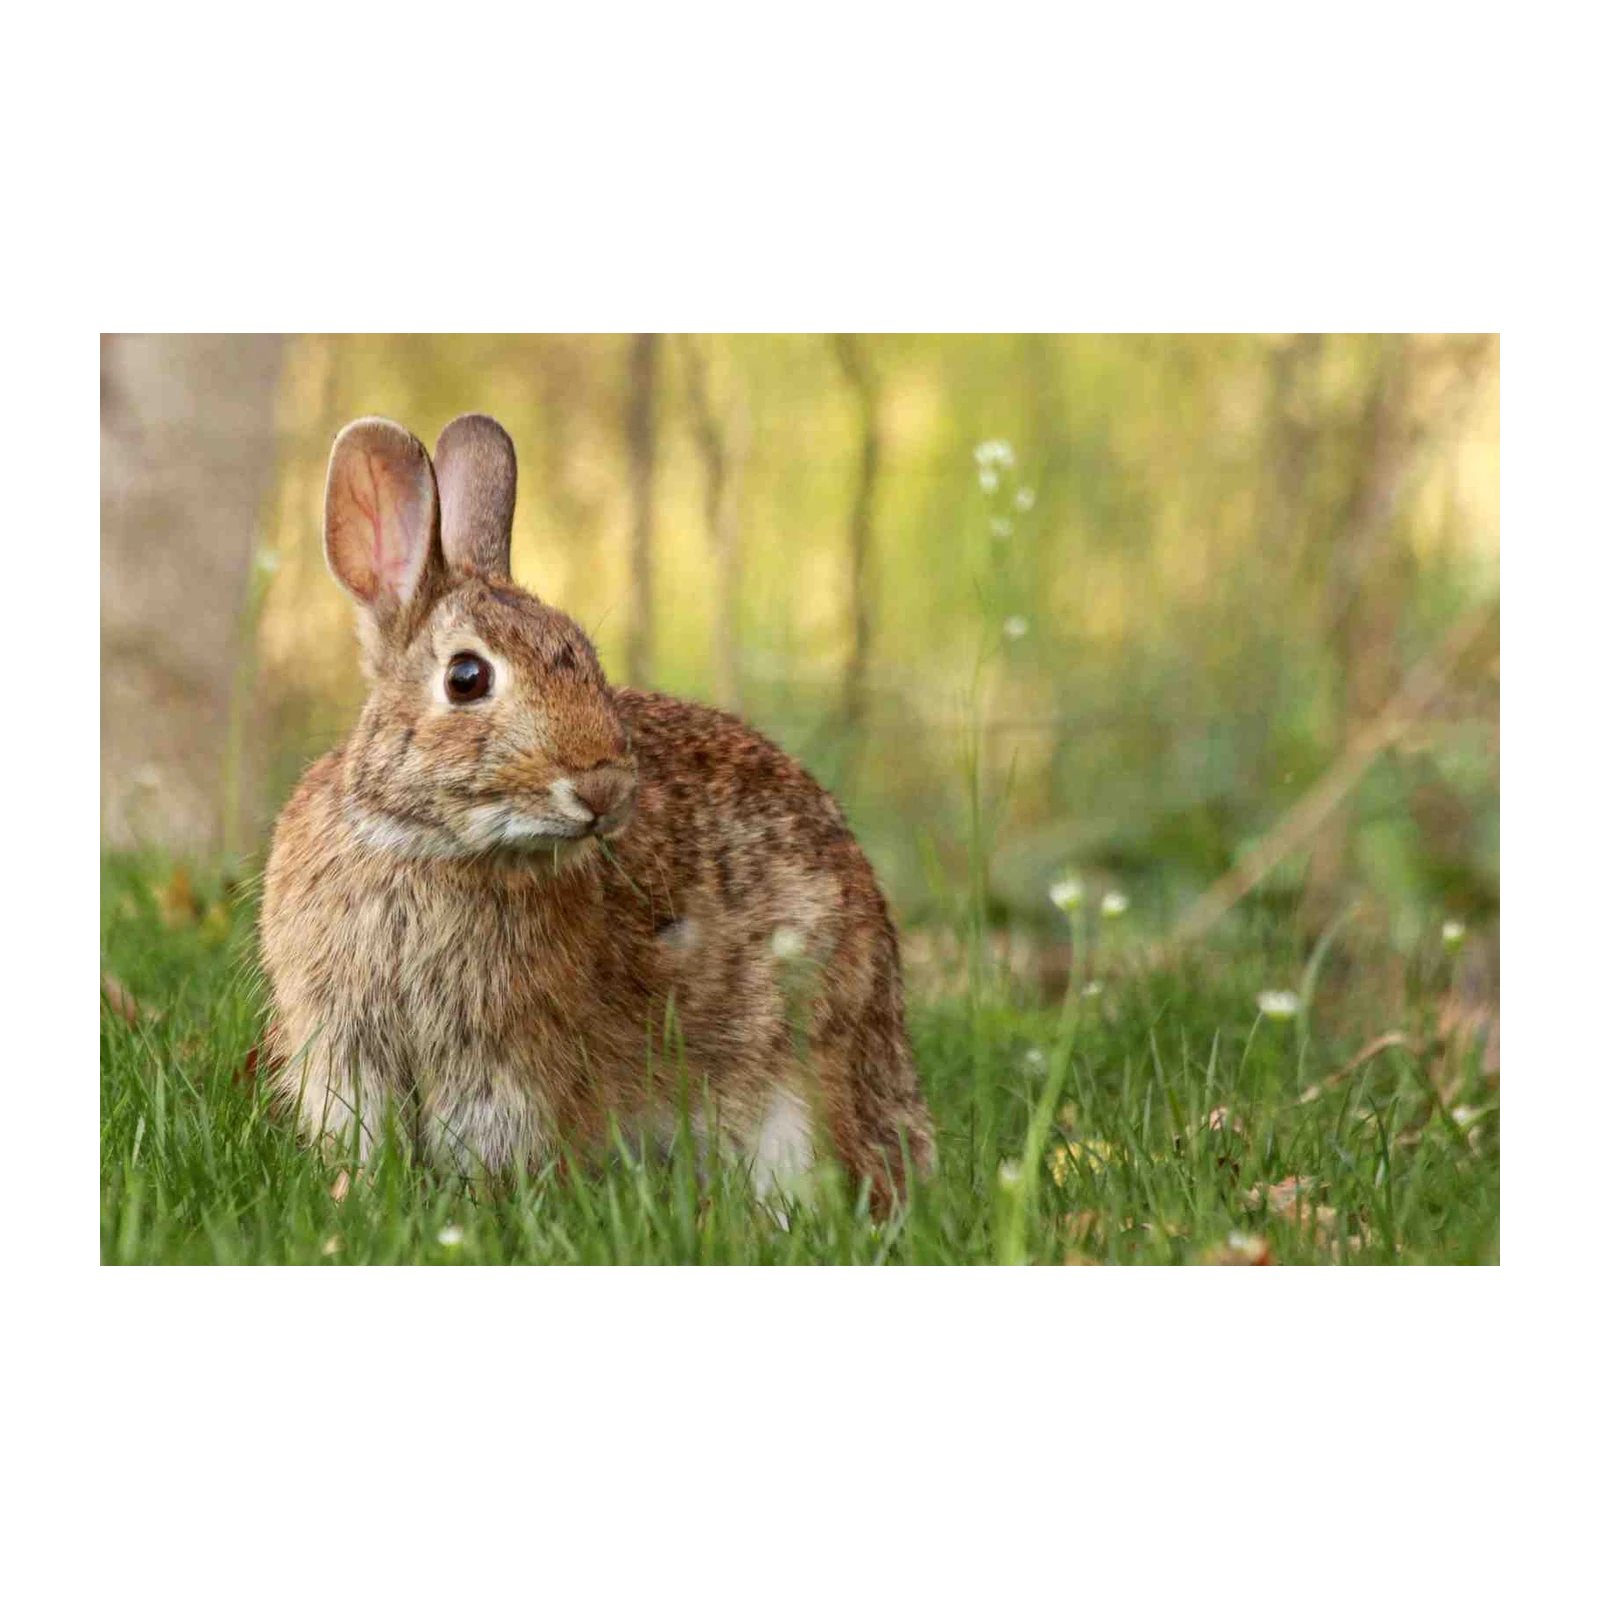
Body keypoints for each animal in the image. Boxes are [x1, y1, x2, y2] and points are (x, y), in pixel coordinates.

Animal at [258, 413, 935, 1218]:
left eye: (585, 654)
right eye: (466, 678)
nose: (604, 787)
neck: (425, 844)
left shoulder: (506, 1066)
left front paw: (479, 1210)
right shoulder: (345, 1048)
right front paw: (355, 1199)